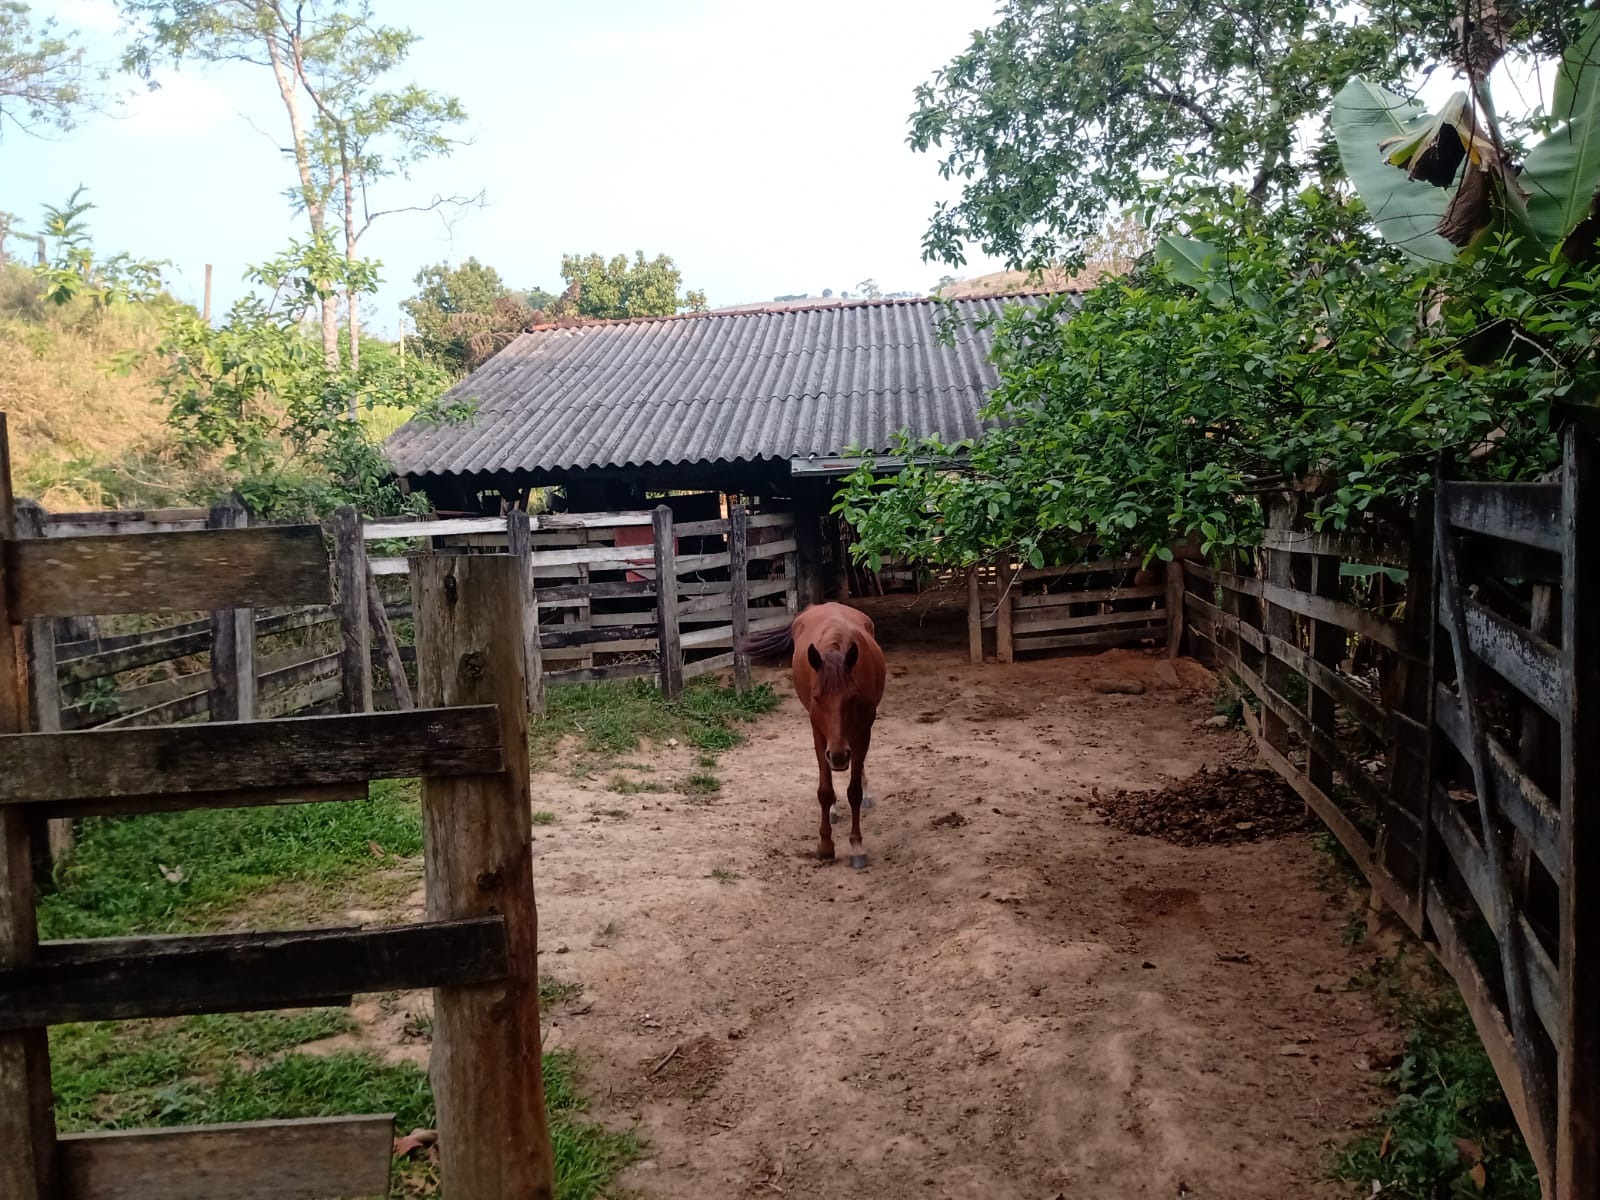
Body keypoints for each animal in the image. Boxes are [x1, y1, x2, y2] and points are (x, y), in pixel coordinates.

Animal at [736, 604, 889, 870]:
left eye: (852, 697)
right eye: (817, 697)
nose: (839, 757)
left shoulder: (863, 731)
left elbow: (854, 791)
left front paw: (857, 846)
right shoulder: (819, 734)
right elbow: (825, 791)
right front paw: (825, 845)